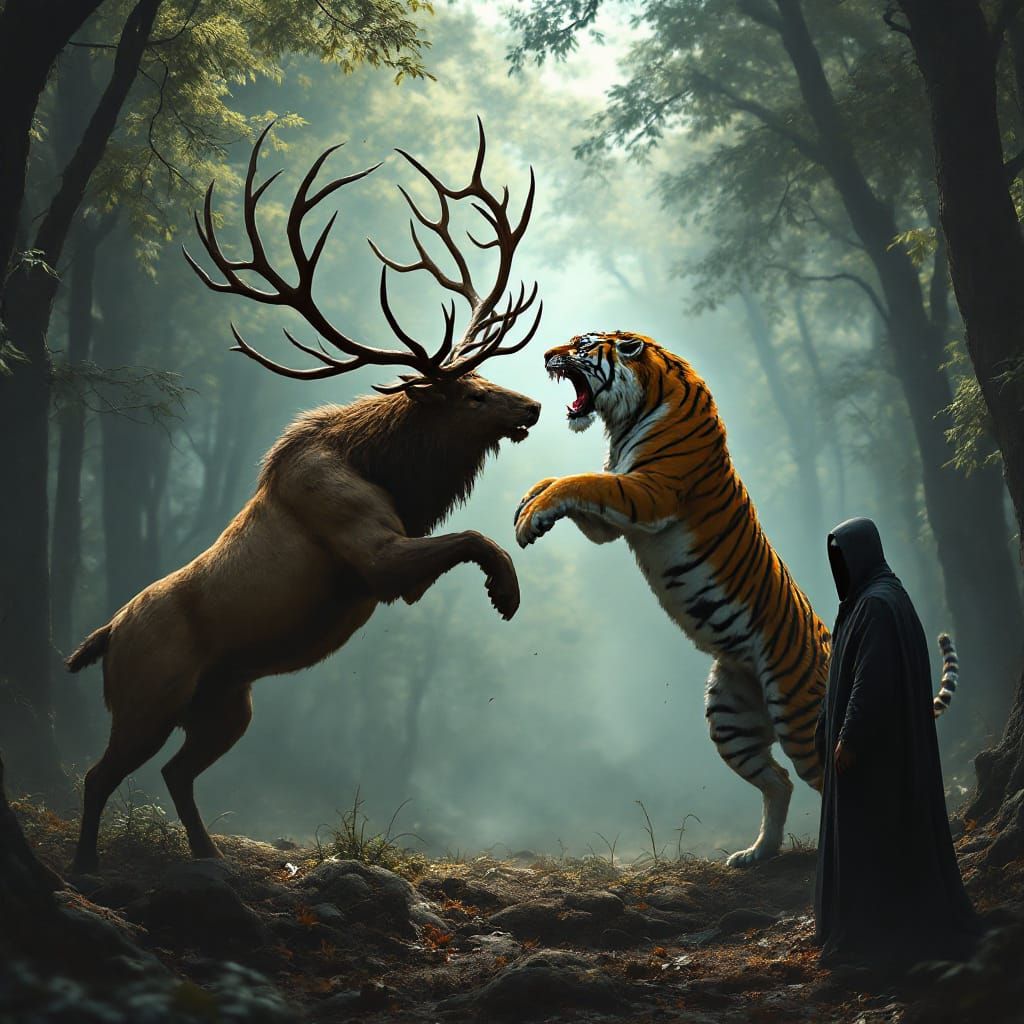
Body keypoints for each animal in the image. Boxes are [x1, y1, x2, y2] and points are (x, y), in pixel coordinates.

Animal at [66, 120, 543, 873]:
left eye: (488, 377)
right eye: (469, 395)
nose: (530, 407)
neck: (389, 470)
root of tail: (106, 636)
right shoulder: (372, 553)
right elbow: (473, 538)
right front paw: (507, 591)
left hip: (228, 705)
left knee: (175, 772)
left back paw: (210, 857)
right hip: (149, 698)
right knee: (98, 773)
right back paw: (87, 866)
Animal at [514, 330, 960, 866]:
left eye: (581, 343)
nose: (545, 355)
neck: (631, 413)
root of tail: (830, 645)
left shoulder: (647, 492)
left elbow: (581, 480)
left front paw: (529, 515)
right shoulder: (615, 516)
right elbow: (570, 484)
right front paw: (529, 502)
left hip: (800, 716)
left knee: (828, 776)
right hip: (731, 717)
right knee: (779, 781)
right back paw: (756, 853)